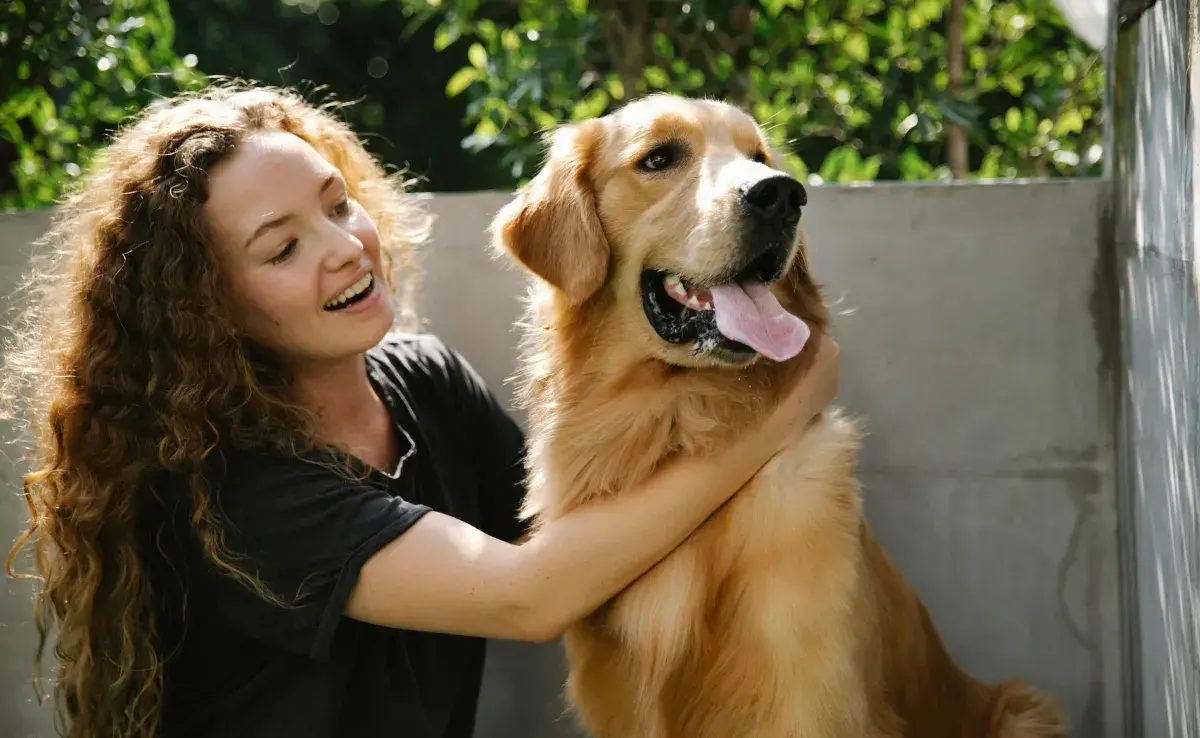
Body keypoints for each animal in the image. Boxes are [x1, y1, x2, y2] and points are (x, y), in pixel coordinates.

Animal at [484, 95, 1060, 738]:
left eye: (759, 157)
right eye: (658, 158)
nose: (782, 196)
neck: (675, 418)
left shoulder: (807, 703)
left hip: (1025, 711)